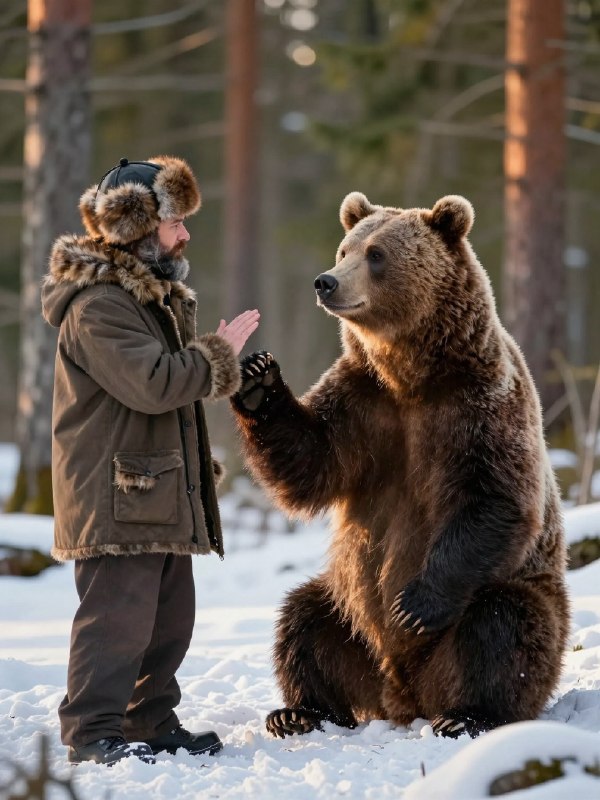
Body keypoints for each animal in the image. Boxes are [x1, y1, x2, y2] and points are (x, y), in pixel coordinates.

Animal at [231, 192, 570, 739]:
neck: (410, 376)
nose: (326, 281)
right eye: (344, 248)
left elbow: (495, 495)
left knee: (505, 623)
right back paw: (299, 711)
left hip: (521, 601)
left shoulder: (480, 405)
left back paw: (467, 714)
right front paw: (258, 379)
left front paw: (413, 606)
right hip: (348, 613)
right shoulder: (364, 405)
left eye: (376, 255)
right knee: (304, 618)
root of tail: (402, 695)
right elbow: (309, 464)